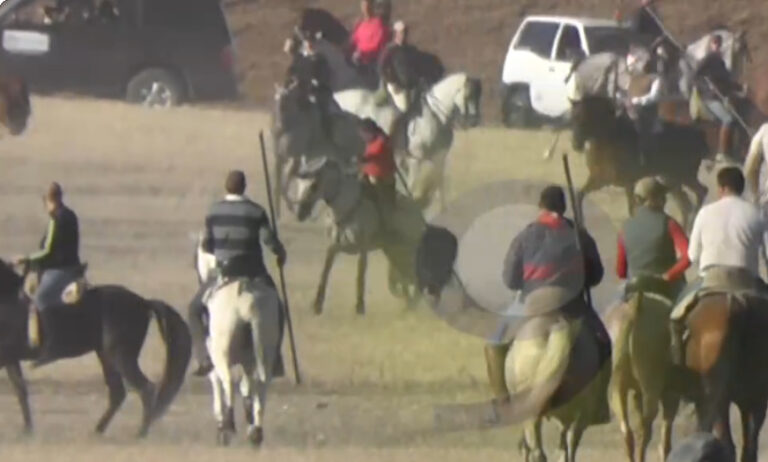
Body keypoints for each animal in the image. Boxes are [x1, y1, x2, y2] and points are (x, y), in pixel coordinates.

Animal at [0, 260, 191, 436]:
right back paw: (98, 430)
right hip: (106, 356)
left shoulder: (6, 358)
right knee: (118, 393)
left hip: (120, 356)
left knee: (145, 389)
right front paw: (27, 429)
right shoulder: (11, 360)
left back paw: (139, 433)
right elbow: (21, 391)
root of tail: (144, 302)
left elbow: (19, 390)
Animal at [290, 156, 426, 314]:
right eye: (298, 184)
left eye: (314, 185)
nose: (300, 214)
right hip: (393, 251)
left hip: (406, 250)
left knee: (412, 274)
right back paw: (409, 304)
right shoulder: (333, 247)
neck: (346, 207)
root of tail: (418, 212)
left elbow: (360, 277)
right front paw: (317, 305)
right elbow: (325, 272)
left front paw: (359, 308)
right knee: (405, 275)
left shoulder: (362, 249)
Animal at [334, 72, 480, 209]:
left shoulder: (439, 157)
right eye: (468, 96)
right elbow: (412, 185)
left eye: (478, 95)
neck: (434, 118)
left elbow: (439, 182)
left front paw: (444, 209)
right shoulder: (414, 160)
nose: (473, 122)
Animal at [568, 95, 708, 229]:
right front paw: (580, 222)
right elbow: (579, 194)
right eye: (573, 118)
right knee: (685, 205)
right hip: (670, 179)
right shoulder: (600, 180)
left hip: (685, 176)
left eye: (585, 120)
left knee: (701, 192)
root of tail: (699, 136)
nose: (576, 145)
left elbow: (631, 209)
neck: (609, 142)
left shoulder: (629, 183)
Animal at [604, 278, 680, 462]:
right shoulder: (671, 395)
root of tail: (635, 308)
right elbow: (665, 438)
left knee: (627, 432)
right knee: (644, 432)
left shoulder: (636, 394)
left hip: (616, 386)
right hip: (651, 387)